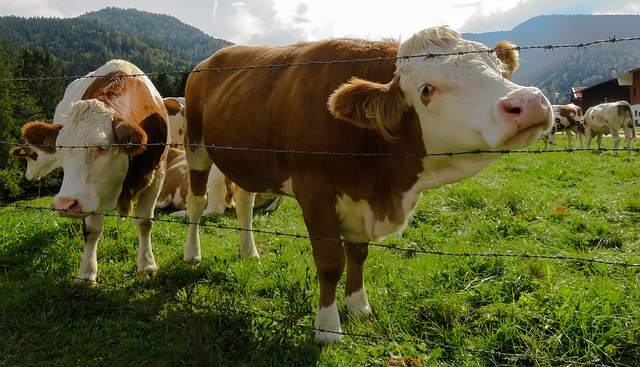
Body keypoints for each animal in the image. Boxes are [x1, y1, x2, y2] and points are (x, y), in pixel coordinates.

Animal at [21, 61, 169, 284]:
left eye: (102, 147)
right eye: (60, 147)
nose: (65, 204)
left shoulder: (157, 176)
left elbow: (144, 223)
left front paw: (147, 265)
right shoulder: (89, 194)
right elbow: (92, 230)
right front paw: (86, 273)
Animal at [182, 26, 552, 344]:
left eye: (499, 70)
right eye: (426, 90)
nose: (529, 102)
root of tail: (210, 60)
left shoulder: (358, 198)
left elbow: (358, 254)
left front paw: (359, 306)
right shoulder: (315, 192)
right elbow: (330, 263)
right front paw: (328, 328)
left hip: (248, 159)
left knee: (245, 199)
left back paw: (249, 253)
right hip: (194, 143)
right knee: (196, 202)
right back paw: (192, 254)